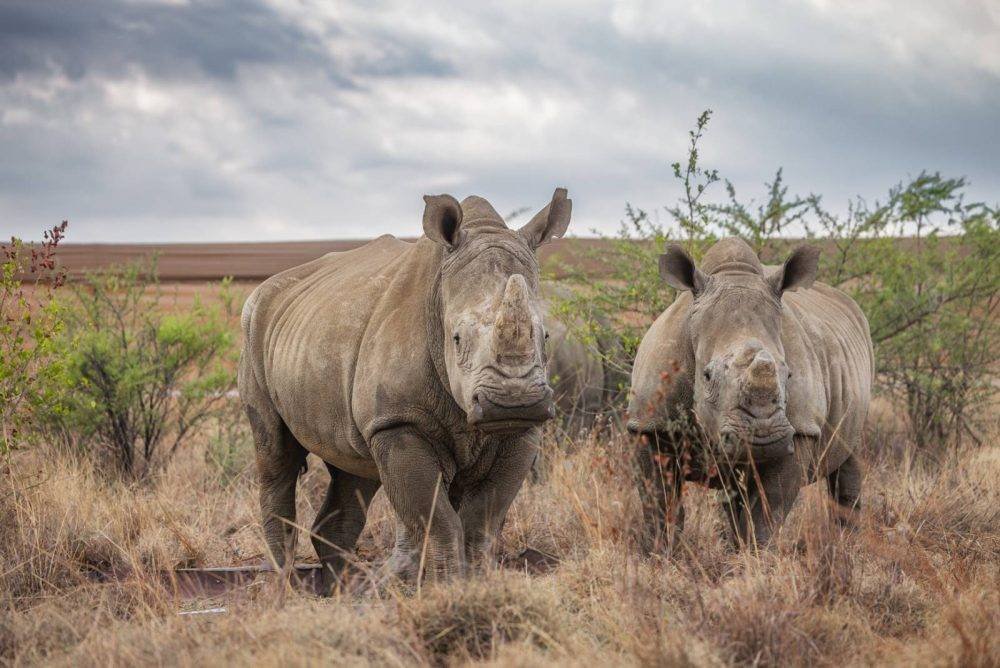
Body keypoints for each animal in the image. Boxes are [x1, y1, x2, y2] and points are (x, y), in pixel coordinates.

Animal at [239, 189, 572, 590]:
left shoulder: (521, 432)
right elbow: (439, 523)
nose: (512, 402)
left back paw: (342, 590)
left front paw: (475, 588)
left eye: (547, 336)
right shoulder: (399, 421)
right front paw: (449, 590)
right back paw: (287, 585)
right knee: (275, 456)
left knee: (354, 468)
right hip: (253, 326)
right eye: (456, 338)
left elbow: (481, 524)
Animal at [627, 238, 874, 549]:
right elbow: (659, 503)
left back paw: (846, 545)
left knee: (849, 456)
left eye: (788, 375)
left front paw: (753, 556)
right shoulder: (649, 424)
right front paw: (661, 552)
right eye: (707, 376)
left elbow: (767, 512)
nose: (763, 439)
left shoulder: (800, 429)